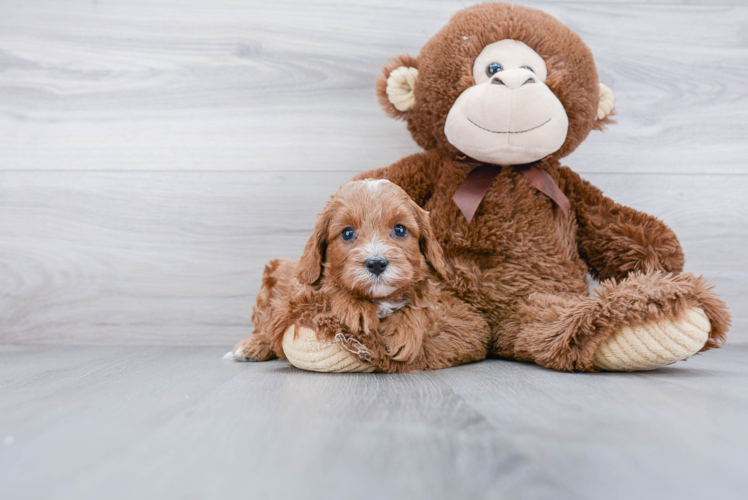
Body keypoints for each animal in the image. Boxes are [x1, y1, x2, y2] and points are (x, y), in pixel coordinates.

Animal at [222, 178, 482, 370]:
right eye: (347, 233)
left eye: (400, 229)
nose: (376, 264)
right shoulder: (302, 292)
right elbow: (330, 286)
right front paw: (356, 307)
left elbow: (421, 305)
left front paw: (403, 332)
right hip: (273, 278)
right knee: (267, 325)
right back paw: (251, 346)